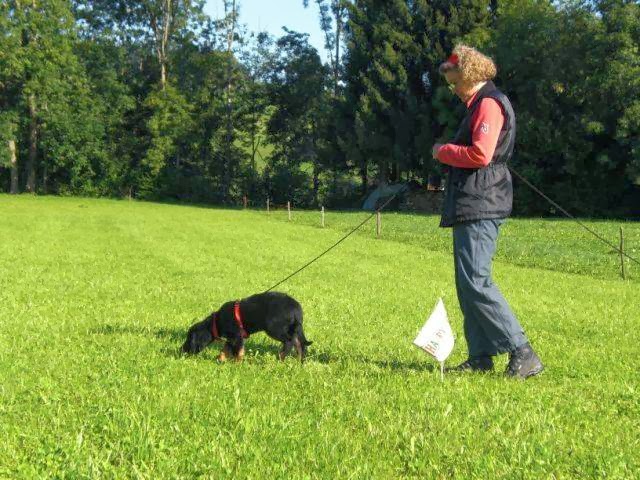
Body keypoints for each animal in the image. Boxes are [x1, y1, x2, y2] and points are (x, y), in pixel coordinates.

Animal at [181, 290, 312, 362]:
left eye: (189, 339)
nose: (181, 350)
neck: (216, 321)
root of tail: (296, 309)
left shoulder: (237, 336)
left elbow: (238, 352)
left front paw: (236, 363)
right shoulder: (232, 338)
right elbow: (225, 349)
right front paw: (220, 359)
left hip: (274, 328)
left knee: (290, 341)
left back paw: (281, 356)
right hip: (293, 329)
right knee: (299, 344)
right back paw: (300, 360)